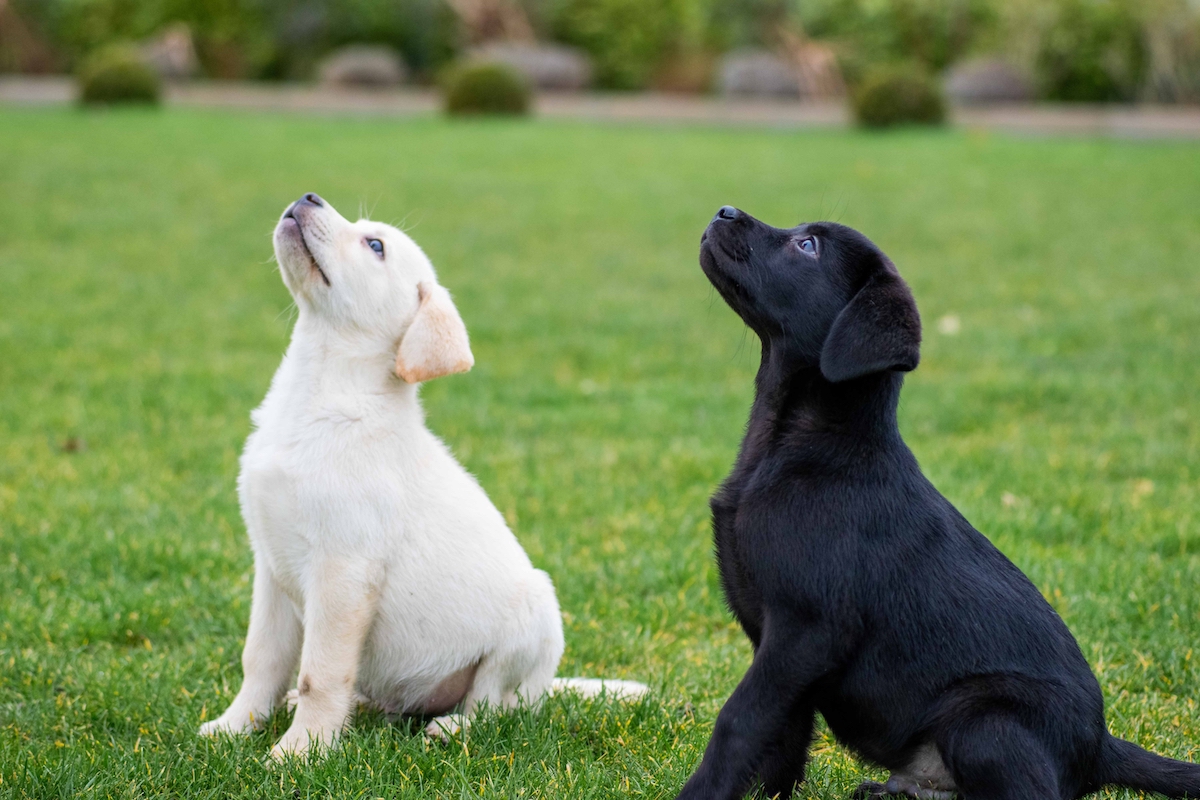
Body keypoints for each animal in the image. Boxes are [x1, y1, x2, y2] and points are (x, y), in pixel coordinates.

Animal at [198, 191, 648, 758]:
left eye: (375, 246)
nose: (308, 196)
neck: (320, 394)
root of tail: (547, 687)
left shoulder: (343, 570)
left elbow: (319, 673)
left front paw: (301, 752)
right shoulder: (272, 567)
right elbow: (261, 661)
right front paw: (235, 727)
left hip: (532, 620)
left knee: (497, 708)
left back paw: (451, 727)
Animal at [686, 208, 1200, 800]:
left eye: (807, 246)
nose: (724, 210)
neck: (796, 446)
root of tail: (1100, 747)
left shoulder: (805, 630)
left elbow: (739, 722)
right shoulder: (785, 655)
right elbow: (779, 745)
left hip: (984, 720)